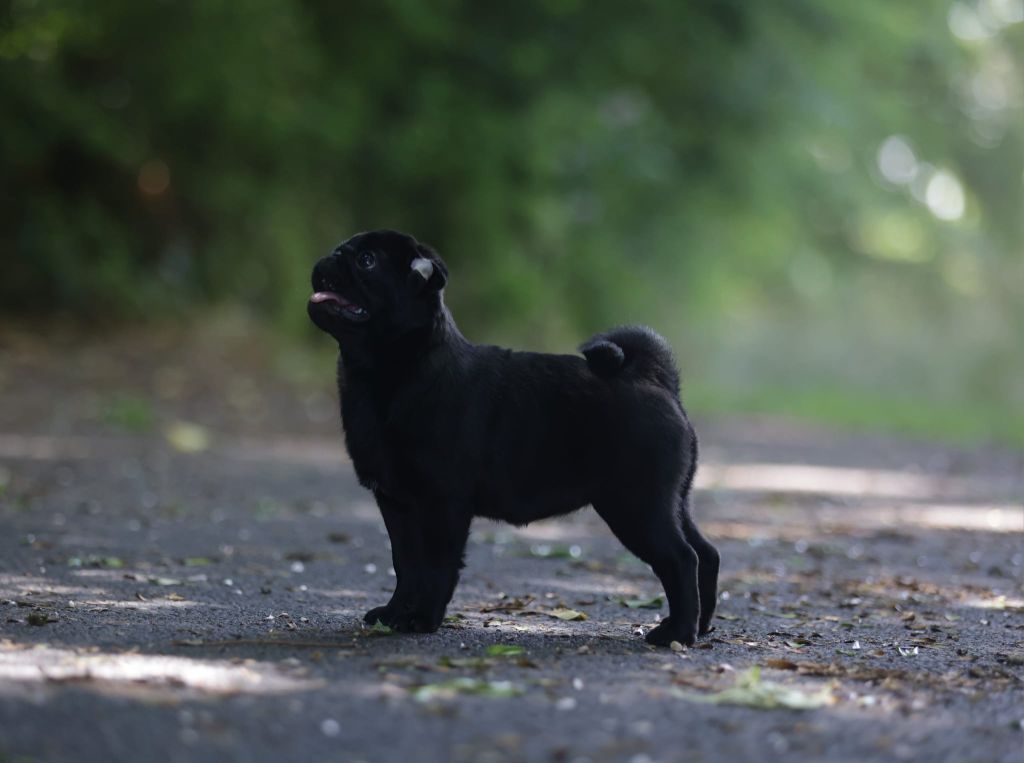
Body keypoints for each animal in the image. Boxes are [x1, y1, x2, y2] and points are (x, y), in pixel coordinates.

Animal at [307, 229, 716, 647]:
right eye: (343, 251)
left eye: (367, 261)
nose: (327, 259)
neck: (388, 372)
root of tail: (655, 378)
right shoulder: (396, 503)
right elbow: (406, 565)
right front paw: (394, 614)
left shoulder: (442, 502)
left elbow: (435, 567)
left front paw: (422, 618)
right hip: (669, 502)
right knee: (706, 553)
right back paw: (698, 626)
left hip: (635, 506)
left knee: (682, 558)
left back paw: (677, 633)